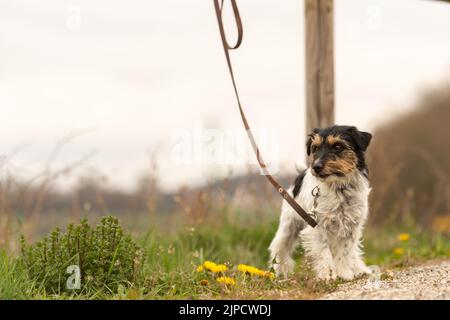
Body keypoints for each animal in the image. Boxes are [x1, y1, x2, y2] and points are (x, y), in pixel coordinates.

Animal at [268, 125, 374, 280]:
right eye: (315, 148)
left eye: (338, 146)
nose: (316, 167)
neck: (339, 188)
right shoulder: (317, 227)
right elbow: (324, 252)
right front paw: (328, 275)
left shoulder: (352, 227)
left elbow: (345, 252)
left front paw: (344, 273)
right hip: (288, 227)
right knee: (279, 248)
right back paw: (282, 272)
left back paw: (360, 269)